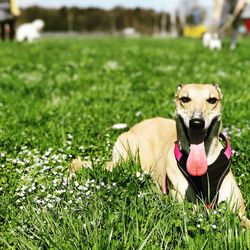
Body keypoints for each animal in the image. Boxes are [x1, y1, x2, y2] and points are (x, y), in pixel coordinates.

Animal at [71, 84, 250, 229]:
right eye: (185, 99)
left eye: (212, 100)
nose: (196, 123)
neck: (205, 162)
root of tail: (136, 126)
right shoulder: (186, 206)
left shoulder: (238, 208)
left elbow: (243, 220)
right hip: (125, 160)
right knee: (78, 162)